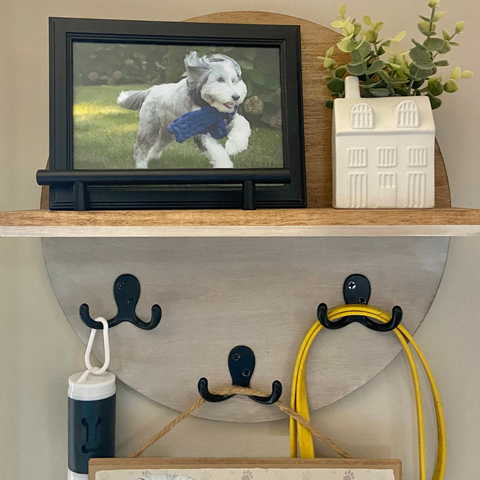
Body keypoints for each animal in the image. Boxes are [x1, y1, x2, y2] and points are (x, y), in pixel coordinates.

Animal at [117, 51, 251, 168]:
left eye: (234, 81)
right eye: (220, 79)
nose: (236, 97)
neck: (208, 106)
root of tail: (153, 89)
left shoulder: (225, 119)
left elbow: (243, 122)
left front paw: (235, 145)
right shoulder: (201, 131)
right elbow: (217, 152)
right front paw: (225, 164)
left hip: (168, 132)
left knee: (159, 144)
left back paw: (152, 156)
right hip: (149, 127)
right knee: (141, 146)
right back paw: (141, 164)